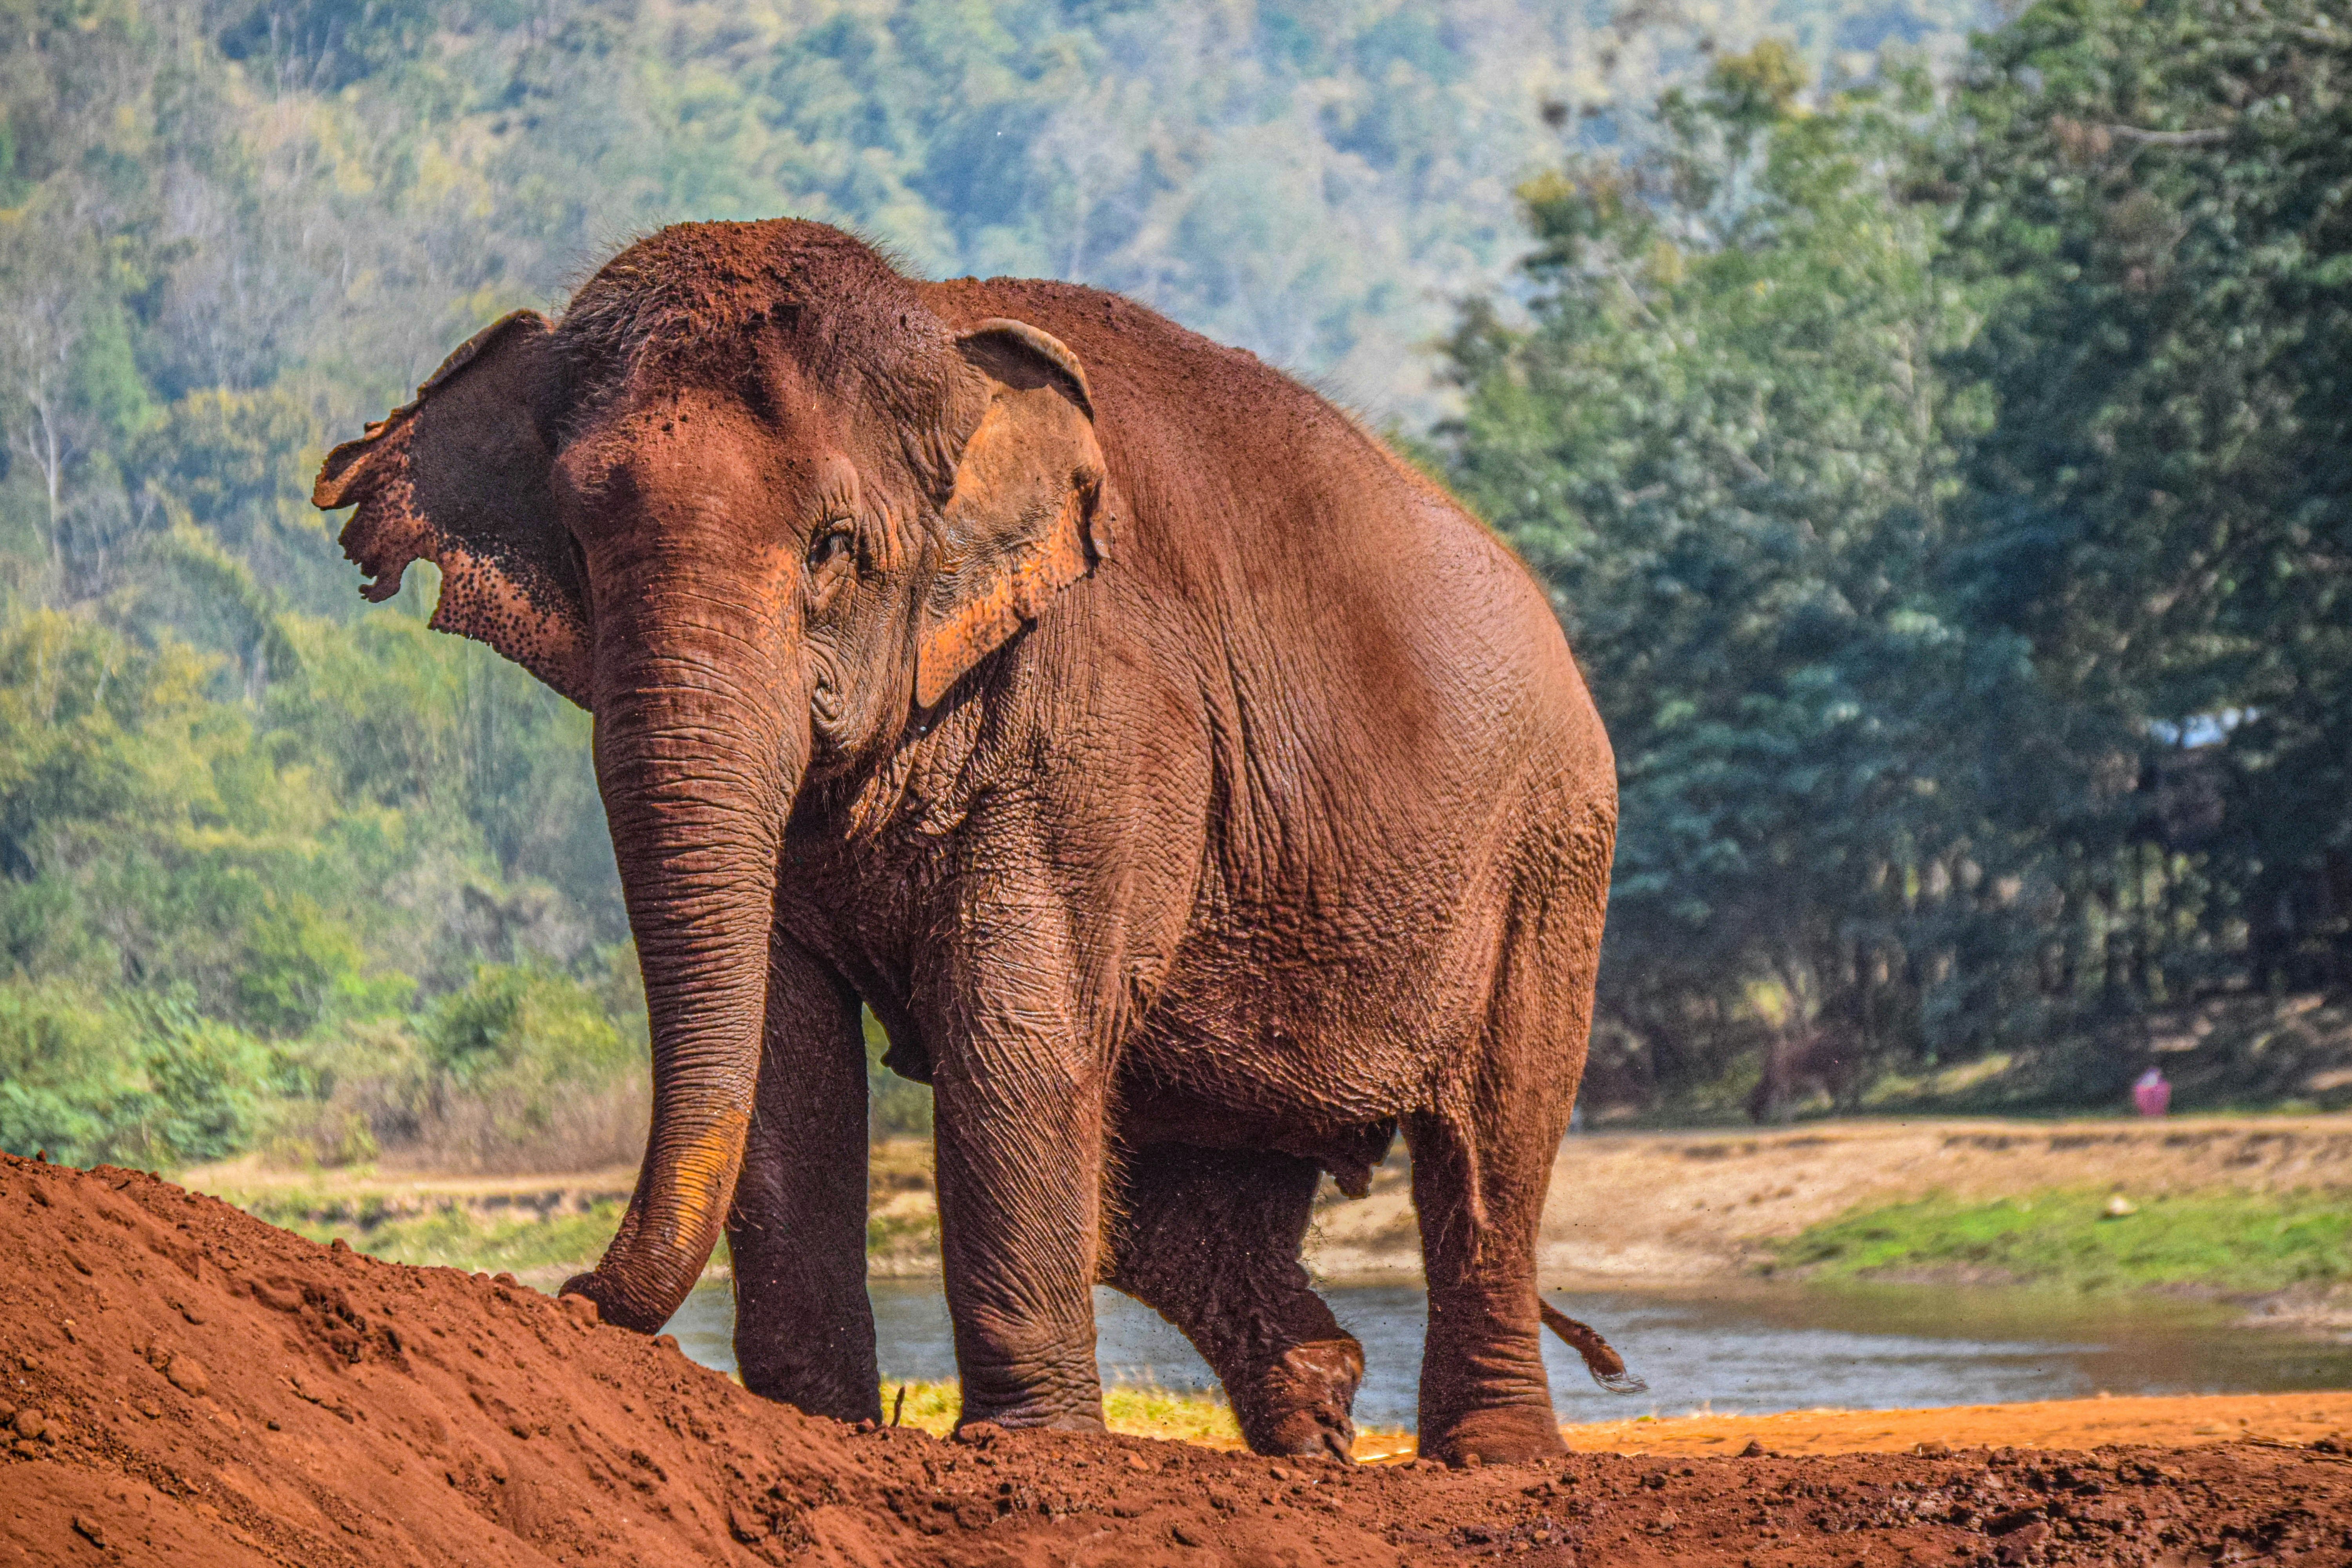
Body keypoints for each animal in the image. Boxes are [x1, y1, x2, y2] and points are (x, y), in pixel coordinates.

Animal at [313, 218, 1636, 1465]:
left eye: (831, 547)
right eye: (579, 543)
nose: (568, 1292)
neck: (934, 333)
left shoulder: (1105, 716)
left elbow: (1012, 1031)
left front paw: (1029, 1444)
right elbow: (791, 1047)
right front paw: (818, 1420)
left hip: (1551, 848)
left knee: (1490, 1141)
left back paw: (1492, 1454)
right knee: (1172, 1201)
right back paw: (1316, 1417)